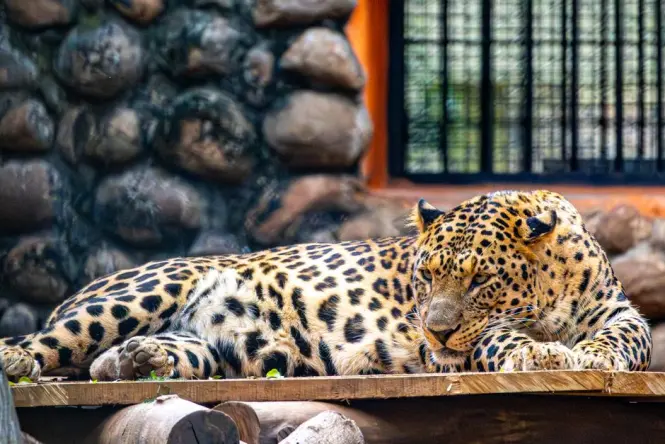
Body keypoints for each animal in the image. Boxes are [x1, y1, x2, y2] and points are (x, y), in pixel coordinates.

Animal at [0, 189, 652, 382]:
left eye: (481, 279)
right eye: (425, 278)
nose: (434, 334)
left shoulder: (620, 312)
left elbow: (626, 339)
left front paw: (588, 355)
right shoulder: (469, 347)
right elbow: (502, 340)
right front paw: (542, 353)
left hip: (207, 346)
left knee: (113, 361)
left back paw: (137, 361)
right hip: (151, 287)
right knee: (47, 343)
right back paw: (20, 361)